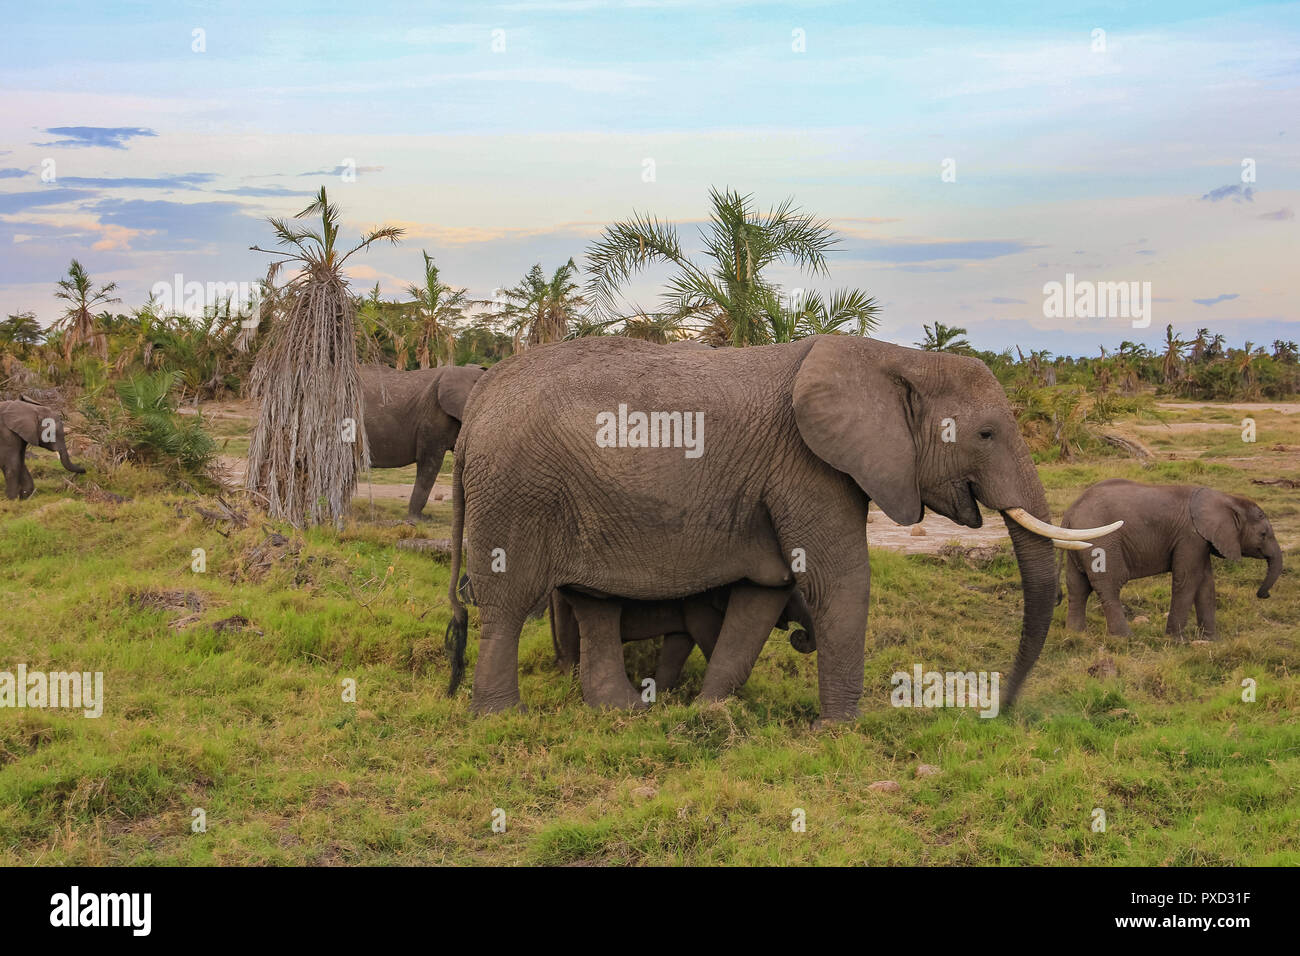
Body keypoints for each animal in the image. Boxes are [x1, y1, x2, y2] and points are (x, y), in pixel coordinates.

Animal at [447, 335, 1118, 717]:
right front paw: (841, 729)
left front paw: (711, 710)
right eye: (985, 434)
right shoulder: (808, 464)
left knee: (592, 600)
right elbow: (839, 581)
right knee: (507, 603)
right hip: (516, 489)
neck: (897, 357)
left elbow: (763, 594)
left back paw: (622, 713)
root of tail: (477, 403)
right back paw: (500, 718)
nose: (1003, 710)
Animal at [1060, 481, 1284, 639]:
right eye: (1263, 534)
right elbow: (1188, 580)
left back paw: (1076, 634)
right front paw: (1176, 640)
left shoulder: (1201, 541)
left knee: (1077, 587)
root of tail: (1069, 512)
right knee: (1110, 586)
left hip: (1079, 543)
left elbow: (1205, 583)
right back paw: (1125, 638)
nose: (1263, 595)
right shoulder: (1190, 537)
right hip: (1103, 542)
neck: (1227, 499)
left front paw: (1212, 641)